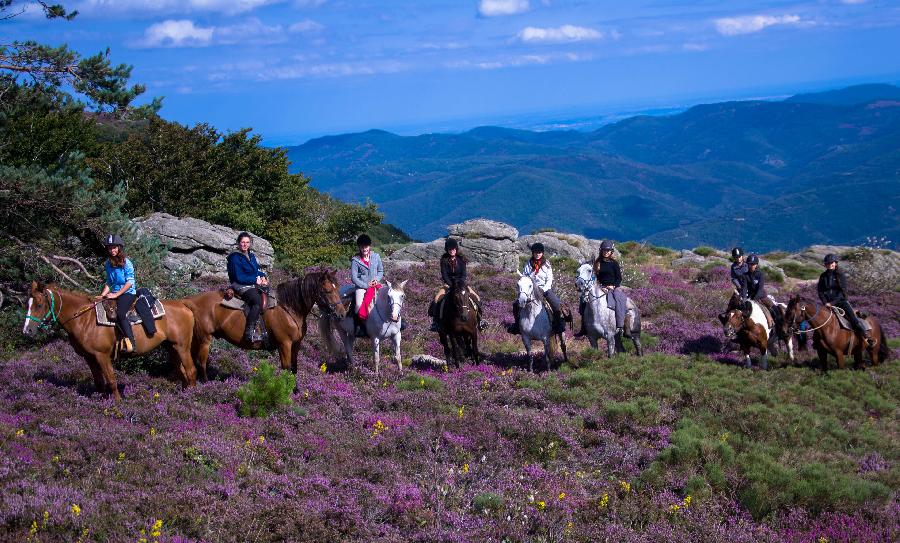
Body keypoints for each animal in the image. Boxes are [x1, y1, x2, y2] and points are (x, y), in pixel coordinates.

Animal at [22, 282, 197, 402]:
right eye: (27, 304)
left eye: (39, 305)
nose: (27, 330)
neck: (83, 319)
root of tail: (183, 304)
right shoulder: (89, 357)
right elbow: (99, 382)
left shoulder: (102, 355)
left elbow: (111, 380)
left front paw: (117, 404)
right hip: (171, 347)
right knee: (181, 372)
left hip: (182, 347)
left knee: (190, 371)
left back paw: (193, 398)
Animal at [181, 270, 346, 380]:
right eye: (327, 290)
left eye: (337, 287)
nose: (342, 313)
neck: (289, 308)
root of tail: (191, 301)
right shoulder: (284, 344)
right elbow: (286, 368)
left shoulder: (296, 344)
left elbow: (294, 368)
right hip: (204, 339)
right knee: (201, 363)